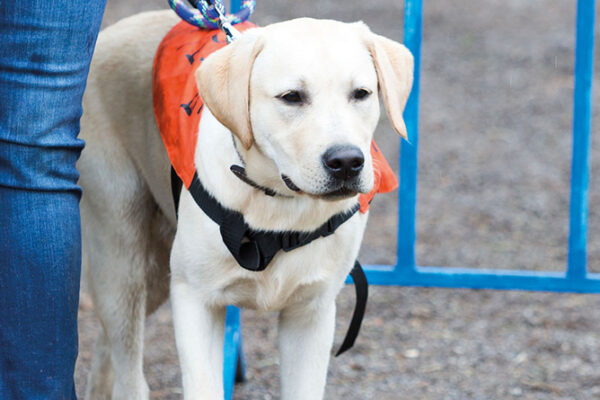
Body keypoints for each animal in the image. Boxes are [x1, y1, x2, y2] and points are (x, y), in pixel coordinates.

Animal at [78, 9, 412, 400]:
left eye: (361, 93)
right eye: (291, 97)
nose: (346, 161)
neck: (280, 207)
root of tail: (109, 33)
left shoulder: (311, 312)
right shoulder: (195, 300)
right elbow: (203, 386)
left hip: (157, 273)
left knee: (108, 348)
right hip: (121, 258)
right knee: (128, 366)